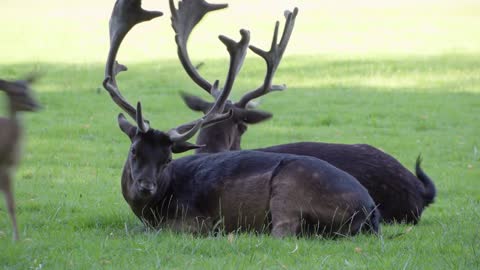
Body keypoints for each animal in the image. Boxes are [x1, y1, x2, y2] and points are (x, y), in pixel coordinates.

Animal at [103, 0, 380, 236]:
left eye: (168, 158)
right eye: (134, 150)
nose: (145, 186)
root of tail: (370, 212)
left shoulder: (194, 221)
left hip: (289, 193)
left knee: (282, 233)